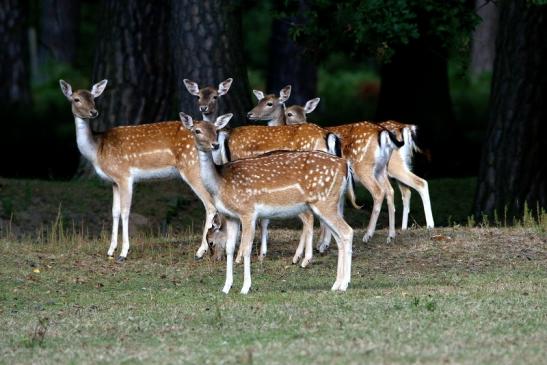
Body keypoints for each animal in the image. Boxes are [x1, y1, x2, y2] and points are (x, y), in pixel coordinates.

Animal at [59, 79, 218, 262]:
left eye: (93, 98)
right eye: (76, 99)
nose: (93, 112)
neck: (97, 150)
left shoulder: (124, 176)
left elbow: (125, 212)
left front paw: (123, 253)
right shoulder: (113, 181)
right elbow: (114, 212)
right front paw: (110, 250)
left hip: (192, 168)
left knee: (210, 205)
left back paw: (200, 251)